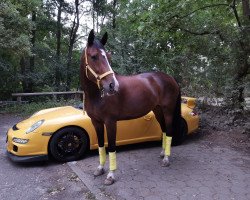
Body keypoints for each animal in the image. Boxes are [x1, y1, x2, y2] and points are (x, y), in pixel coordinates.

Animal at [81, 30, 181, 186]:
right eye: (93, 56)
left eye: (108, 57)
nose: (112, 85)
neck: (97, 96)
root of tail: (171, 78)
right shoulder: (96, 122)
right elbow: (101, 146)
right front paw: (100, 169)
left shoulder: (110, 122)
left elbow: (111, 147)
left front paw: (110, 176)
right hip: (158, 110)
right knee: (164, 130)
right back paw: (163, 153)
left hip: (168, 111)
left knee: (169, 131)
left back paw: (166, 159)